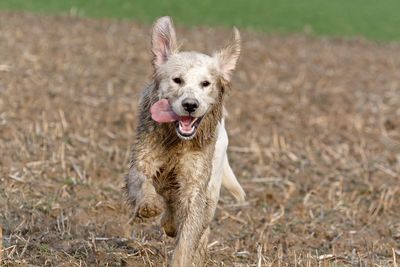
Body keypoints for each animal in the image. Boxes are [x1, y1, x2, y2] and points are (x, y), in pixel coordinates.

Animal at [125, 16, 245, 266]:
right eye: (177, 80)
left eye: (206, 84)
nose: (190, 105)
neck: (176, 141)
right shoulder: (142, 161)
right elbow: (142, 182)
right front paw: (149, 205)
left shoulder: (195, 186)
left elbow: (188, 237)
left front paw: (184, 256)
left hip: (212, 188)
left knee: (203, 226)